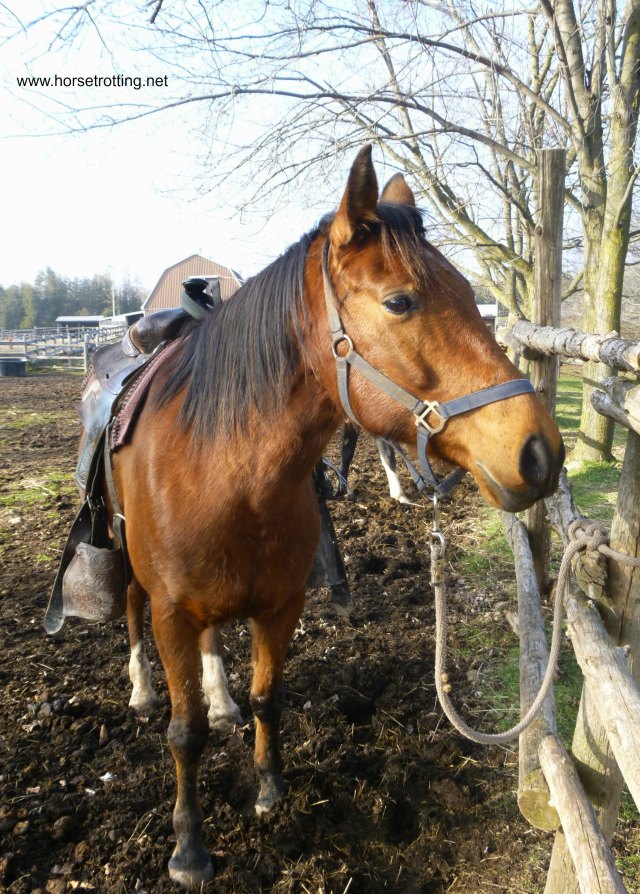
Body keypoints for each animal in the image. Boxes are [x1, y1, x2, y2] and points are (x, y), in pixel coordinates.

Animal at [107, 146, 563, 887]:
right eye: (401, 301)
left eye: (473, 296)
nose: (540, 451)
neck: (224, 477)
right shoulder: (172, 612)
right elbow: (185, 733)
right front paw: (188, 848)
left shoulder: (280, 605)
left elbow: (268, 696)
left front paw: (269, 787)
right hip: (124, 558)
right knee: (128, 612)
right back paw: (144, 691)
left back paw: (221, 698)